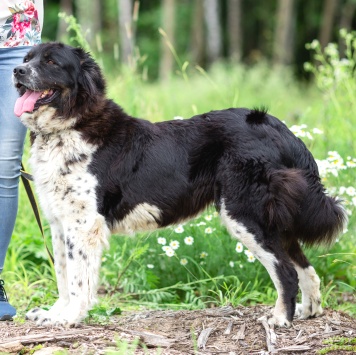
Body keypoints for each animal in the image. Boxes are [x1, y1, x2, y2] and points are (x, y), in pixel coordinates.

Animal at [13, 43, 344, 330]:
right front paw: (55, 313)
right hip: (272, 219)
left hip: (244, 215)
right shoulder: (60, 222)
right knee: (304, 267)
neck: (69, 125)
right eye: (27, 58)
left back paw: (280, 319)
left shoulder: (83, 225)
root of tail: (277, 127)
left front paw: (70, 318)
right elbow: (62, 274)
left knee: (285, 270)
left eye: (51, 62)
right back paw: (308, 311)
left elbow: (78, 280)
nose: (17, 70)